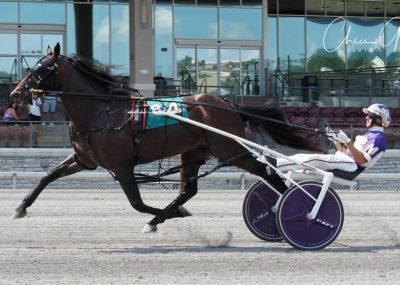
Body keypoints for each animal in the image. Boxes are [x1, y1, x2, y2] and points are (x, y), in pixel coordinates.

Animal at [10, 43, 322, 232]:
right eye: (30, 68)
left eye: (40, 70)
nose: (15, 94)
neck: (101, 111)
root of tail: (230, 104)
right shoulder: (84, 159)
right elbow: (47, 176)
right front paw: (20, 208)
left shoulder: (122, 166)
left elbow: (136, 203)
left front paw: (170, 215)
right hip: (194, 152)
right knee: (189, 189)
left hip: (231, 150)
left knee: (268, 170)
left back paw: (299, 207)